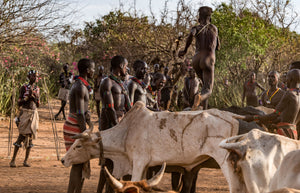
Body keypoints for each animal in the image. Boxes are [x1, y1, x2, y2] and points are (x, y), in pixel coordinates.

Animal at [61, 101, 244, 190]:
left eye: (78, 146)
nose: (63, 160)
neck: (126, 132)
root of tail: (232, 116)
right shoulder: (144, 166)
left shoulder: (138, 162)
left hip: (224, 160)